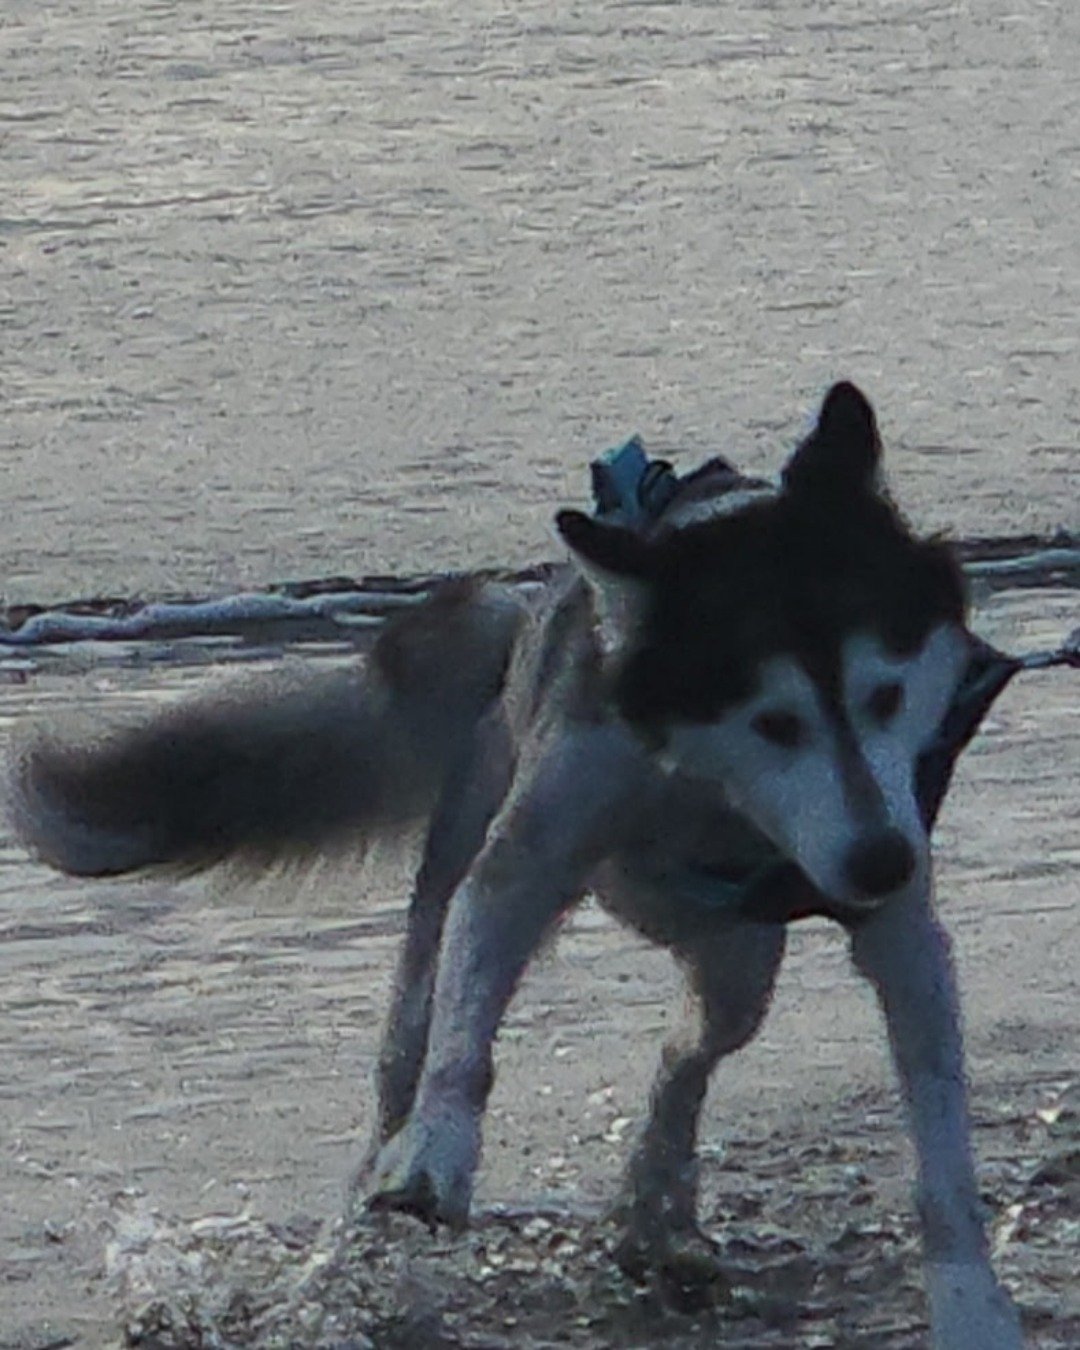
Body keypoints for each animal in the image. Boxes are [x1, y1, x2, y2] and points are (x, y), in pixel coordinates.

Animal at [10, 383, 1024, 1348]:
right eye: (775, 721)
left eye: (886, 695)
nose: (880, 861)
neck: (712, 791)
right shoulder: (531, 854)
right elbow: (467, 1041)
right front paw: (438, 1156)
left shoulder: (897, 911)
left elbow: (940, 1150)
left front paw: (971, 1308)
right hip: (460, 892)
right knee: (409, 1057)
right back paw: (359, 1239)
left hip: (740, 956)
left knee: (689, 1052)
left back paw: (654, 1203)